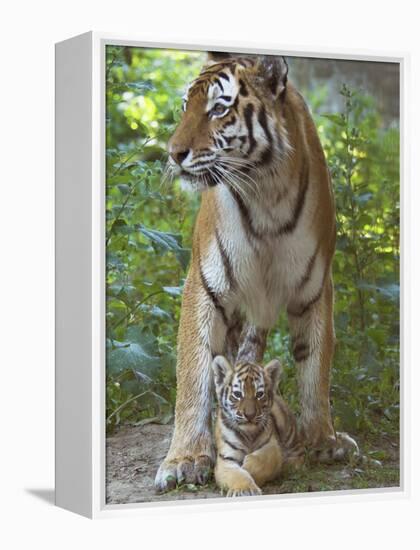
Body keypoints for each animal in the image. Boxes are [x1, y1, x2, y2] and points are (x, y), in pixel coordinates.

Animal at [154, 50, 358, 492]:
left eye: (218, 109)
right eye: (185, 107)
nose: (173, 153)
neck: (266, 192)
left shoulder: (315, 287)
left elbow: (316, 366)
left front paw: (323, 439)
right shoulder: (205, 285)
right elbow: (194, 372)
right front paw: (185, 459)